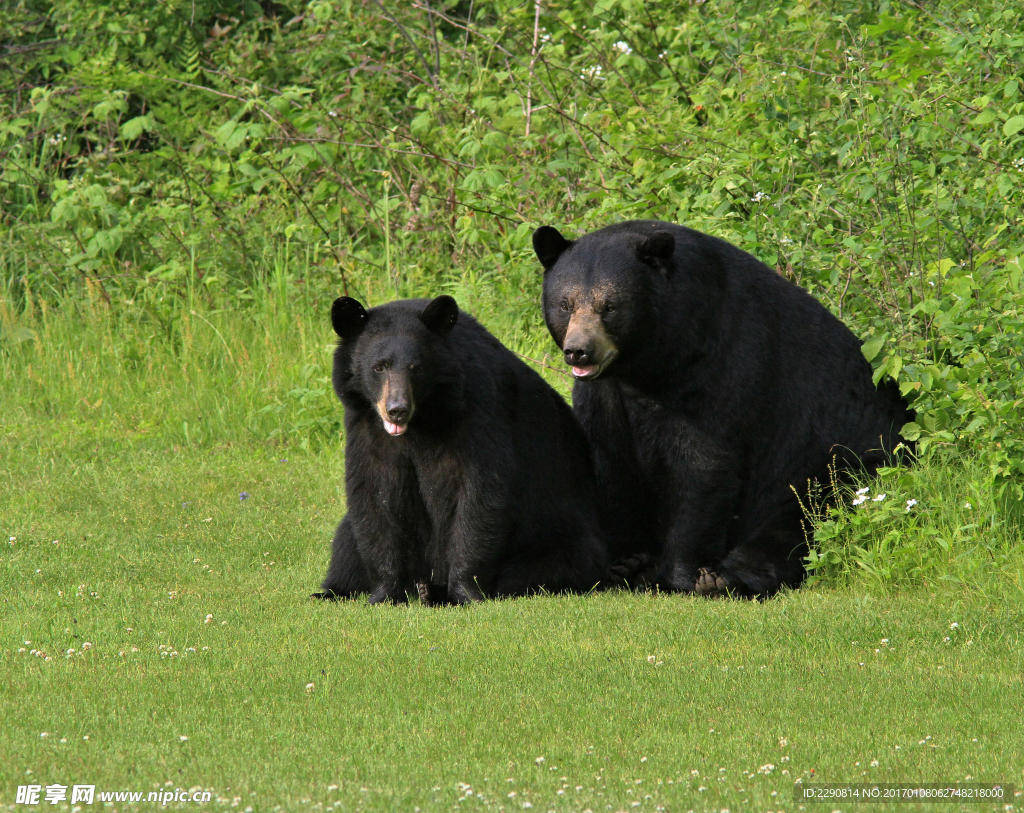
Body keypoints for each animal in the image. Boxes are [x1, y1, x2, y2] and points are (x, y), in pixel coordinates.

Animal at [313, 294, 610, 605]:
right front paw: (384, 593)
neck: (424, 417)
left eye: (415, 367)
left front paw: (463, 591)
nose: (397, 410)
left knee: (554, 563)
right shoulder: (367, 426)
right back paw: (333, 591)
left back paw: (432, 590)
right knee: (346, 541)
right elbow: (374, 494)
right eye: (379, 367)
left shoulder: (477, 414)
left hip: (554, 530)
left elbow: (476, 495)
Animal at [533, 219, 913, 598]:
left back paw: (724, 578)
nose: (579, 351)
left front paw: (681, 575)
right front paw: (623, 560)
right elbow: (608, 461)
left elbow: (704, 464)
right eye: (565, 304)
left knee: (802, 518)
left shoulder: (722, 363)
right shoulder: (605, 393)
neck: (653, 363)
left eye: (610, 306)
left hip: (845, 461)